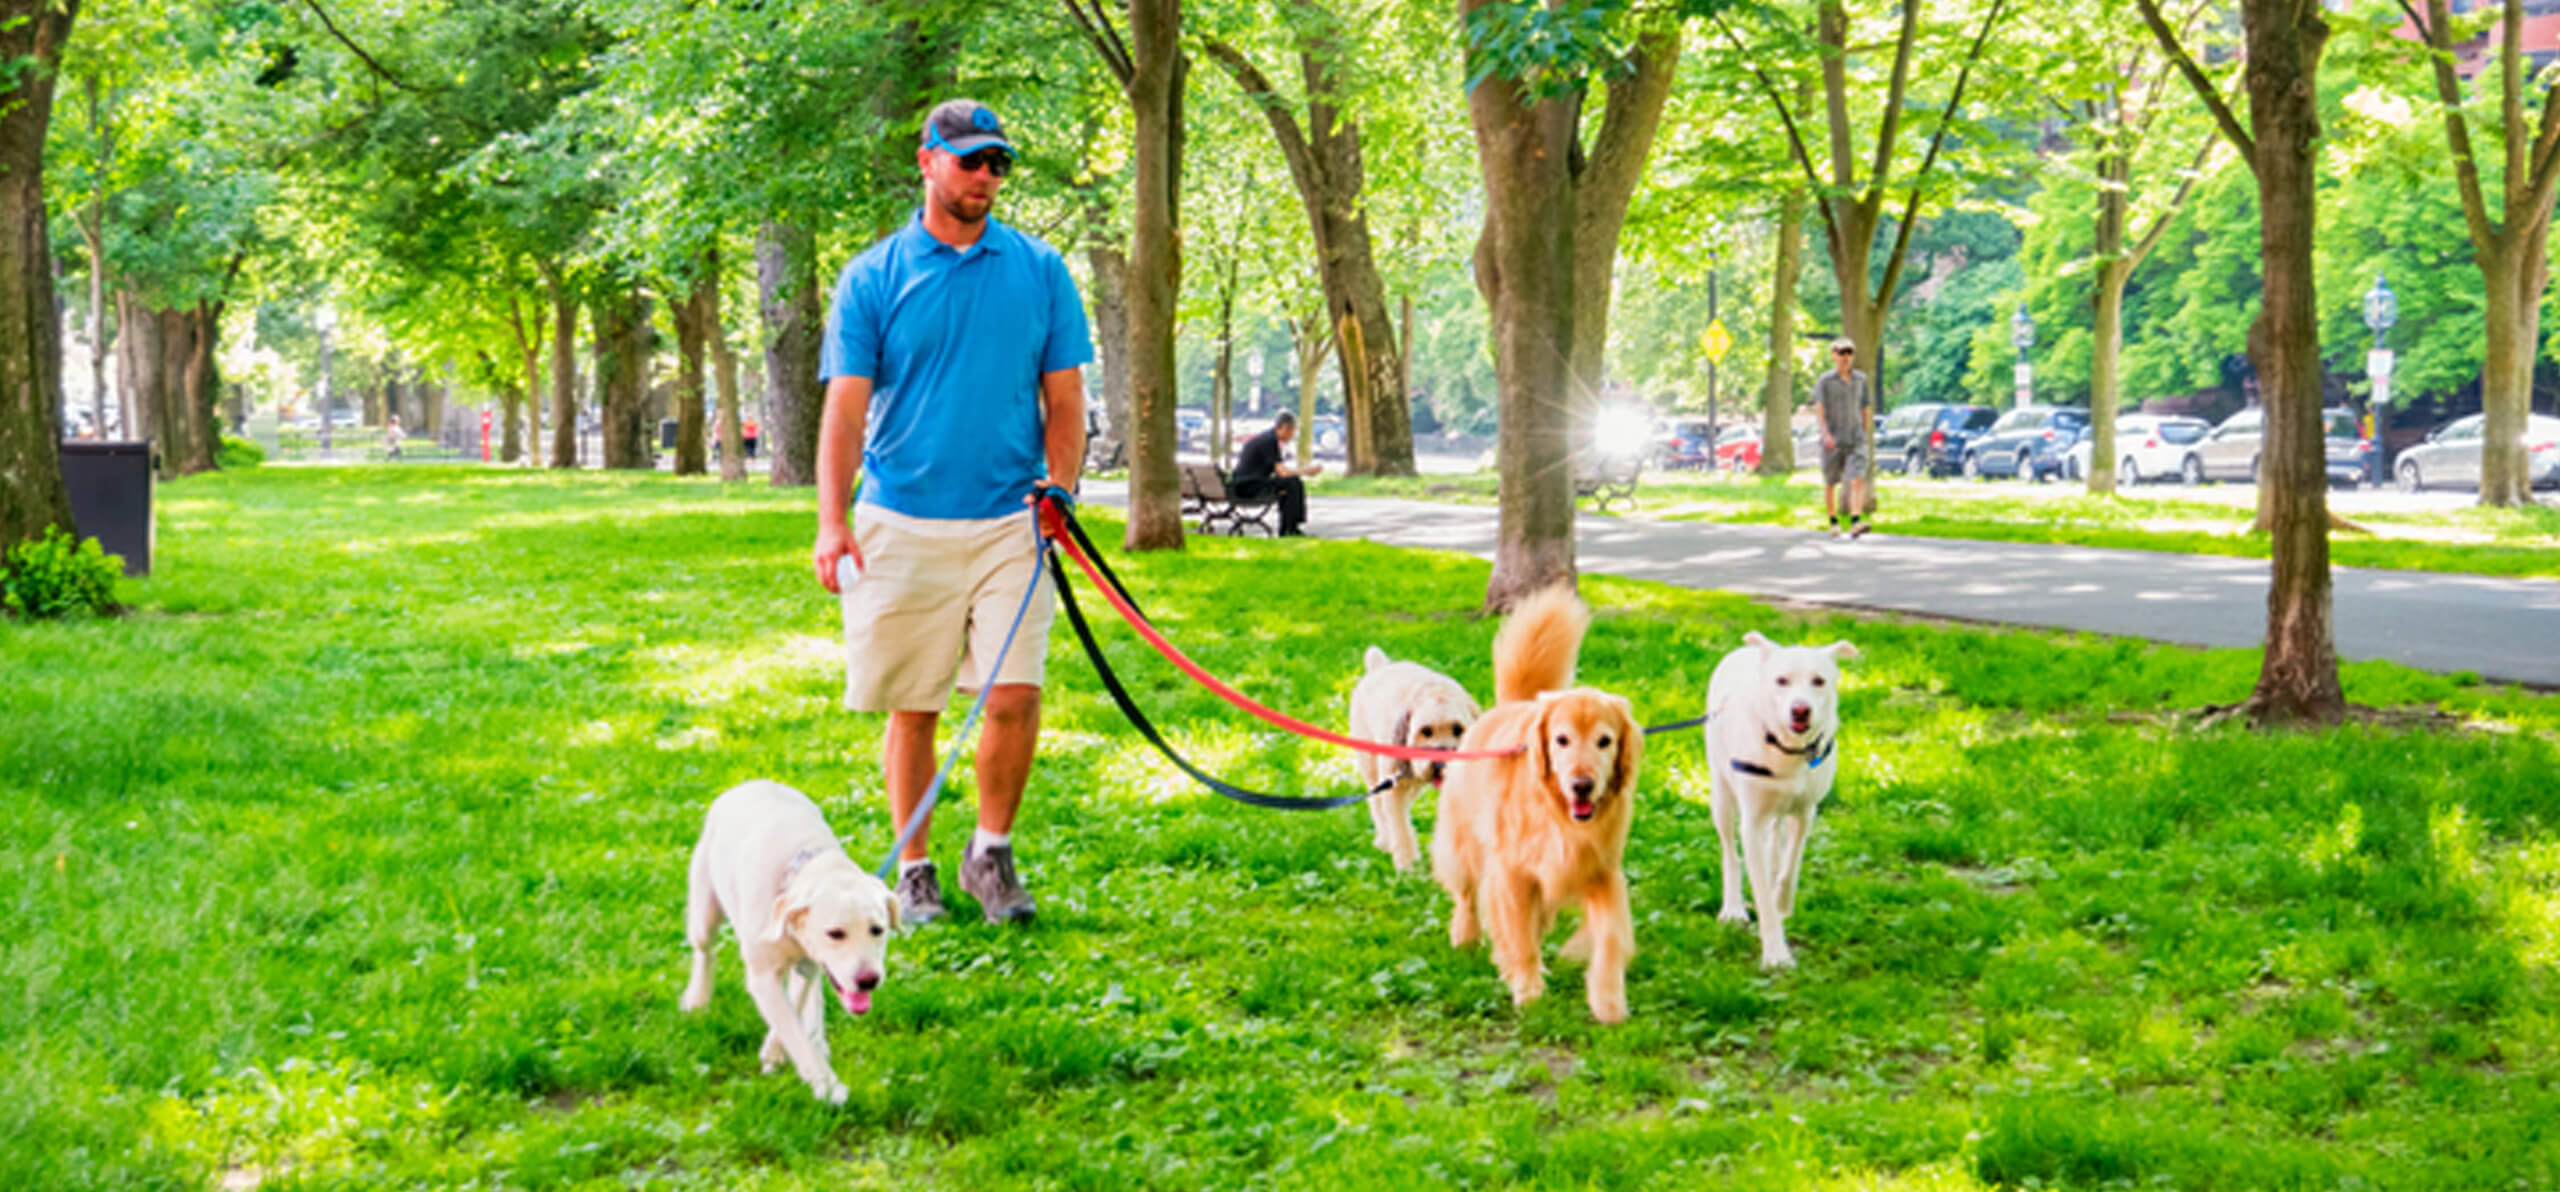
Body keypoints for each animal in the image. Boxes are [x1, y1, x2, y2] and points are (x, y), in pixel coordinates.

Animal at [680, 777, 901, 1105]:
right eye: (835, 933)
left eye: (878, 929)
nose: (868, 980)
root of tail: (751, 782)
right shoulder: (763, 974)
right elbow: (792, 1029)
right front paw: (827, 1085)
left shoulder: (807, 965)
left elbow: (793, 1009)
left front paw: (776, 1050)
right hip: (704, 911)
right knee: (704, 952)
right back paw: (697, 999)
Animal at [1341, 647, 1484, 869]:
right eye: (1425, 731)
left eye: (1458, 729)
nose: (1440, 764)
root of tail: (1379, 666)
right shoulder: (1393, 787)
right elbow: (1400, 828)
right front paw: (1408, 867)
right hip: (1371, 766)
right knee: (1378, 805)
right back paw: (1385, 839)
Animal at [1443, 583, 1638, 1018]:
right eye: (1562, 739)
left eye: (1605, 741)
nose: (1582, 785)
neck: (1559, 817)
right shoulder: (1512, 874)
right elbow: (1518, 938)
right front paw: (1529, 991)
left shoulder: (1601, 872)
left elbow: (1611, 936)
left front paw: (1608, 999)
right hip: (1464, 844)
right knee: (1466, 893)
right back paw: (1465, 935)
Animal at [1710, 634, 1853, 966]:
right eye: (1781, 681)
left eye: (1818, 680)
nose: (1800, 710)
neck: (1788, 749)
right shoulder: (1751, 823)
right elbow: (1760, 887)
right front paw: (1776, 953)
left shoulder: (1805, 812)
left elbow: (1791, 864)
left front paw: (1782, 901)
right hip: (1721, 798)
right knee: (1731, 853)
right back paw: (1733, 907)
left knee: (1775, 844)